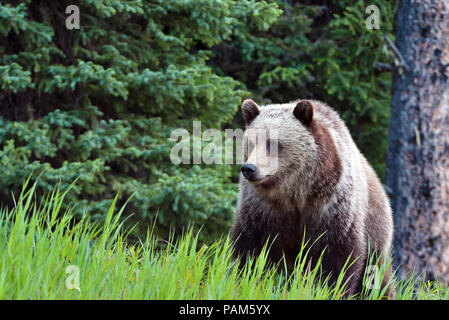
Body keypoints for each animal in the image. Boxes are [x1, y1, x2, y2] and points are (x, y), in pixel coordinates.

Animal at [229, 99, 394, 298]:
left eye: (273, 143)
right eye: (251, 143)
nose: (249, 168)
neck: (295, 193)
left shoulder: (331, 206)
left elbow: (337, 257)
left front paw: (330, 290)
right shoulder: (262, 209)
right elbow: (250, 248)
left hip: (376, 228)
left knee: (375, 276)